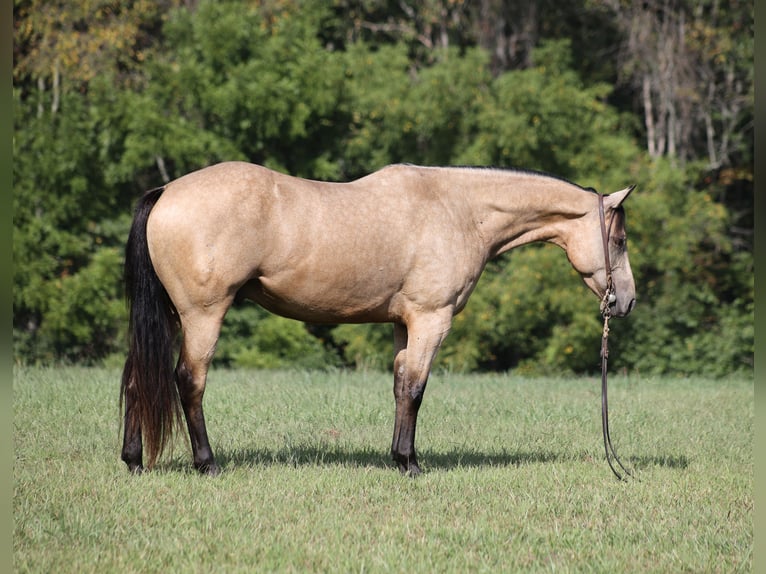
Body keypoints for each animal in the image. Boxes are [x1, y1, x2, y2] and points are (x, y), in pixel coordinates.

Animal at [120, 161, 636, 476]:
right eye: (620, 240)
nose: (625, 302)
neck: (458, 210)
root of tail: (166, 192)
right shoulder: (431, 319)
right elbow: (416, 389)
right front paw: (410, 463)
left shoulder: (401, 324)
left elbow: (400, 386)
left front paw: (398, 457)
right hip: (202, 315)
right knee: (189, 380)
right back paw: (206, 463)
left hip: (169, 316)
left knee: (136, 378)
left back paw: (133, 459)